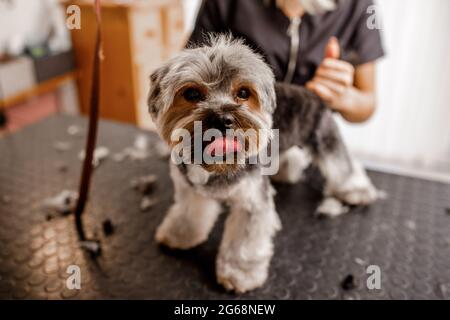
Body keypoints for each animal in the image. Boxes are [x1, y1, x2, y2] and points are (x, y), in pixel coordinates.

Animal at [147, 34, 380, 292]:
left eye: (243, 93)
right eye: (191, 94)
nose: (223, 119)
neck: (218, 167)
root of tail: (315, 94)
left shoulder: (253, 202)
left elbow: (244, 244)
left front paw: (239, 274)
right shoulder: (192, 190)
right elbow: (189, 214)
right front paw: (180, 236)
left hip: (325, 135)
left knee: (342, 164)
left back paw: (356, 191)